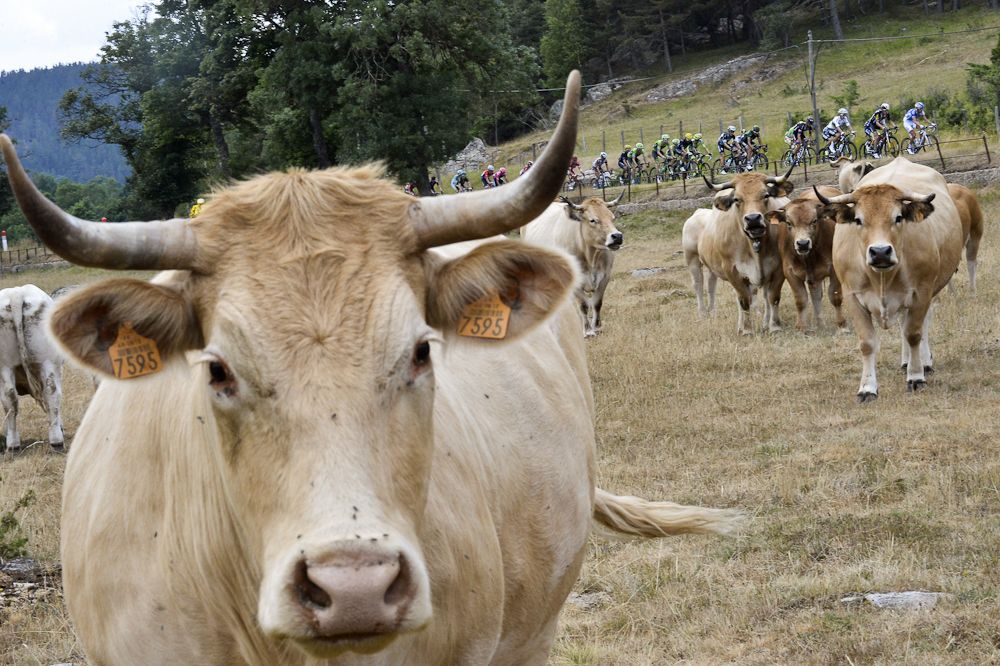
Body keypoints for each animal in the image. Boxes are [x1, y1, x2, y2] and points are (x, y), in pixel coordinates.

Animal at [0, 284, 64, 452]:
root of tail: (16, 292)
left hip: (5, 366)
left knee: (9, 398)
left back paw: (13, 444)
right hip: (48, 361)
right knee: (52, 392)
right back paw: (57, 441)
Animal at [521, 192, 625, 337]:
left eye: (612, 217)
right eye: (593, 220)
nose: (617, 236)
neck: (590, 257)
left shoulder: (605, 277)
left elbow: (597, 303)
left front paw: (597, 327)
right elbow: (583, 305)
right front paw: (588, 331)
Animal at [682, 168, 795, 335]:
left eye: (765, 195)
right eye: (736, 199)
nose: (753, 219)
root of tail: (698, 212)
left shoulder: (777, 268)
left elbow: (772, 297)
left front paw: (774, 326)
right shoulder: (732, 270)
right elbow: (744, 300)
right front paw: (747, 329)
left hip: (712, 266)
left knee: (711, 286)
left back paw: (714, 312)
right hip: (693, 259)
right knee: (698, 285)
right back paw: (703, 314)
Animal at [767, 186, 847, 332]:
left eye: (814, 220)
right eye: (789, 223)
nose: (803, 243)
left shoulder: (834, 270)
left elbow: (835, 296)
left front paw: (842, 326)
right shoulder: (789, 272)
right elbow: (801, 299)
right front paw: (801, 326)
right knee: (815, 295)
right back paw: (820, 323)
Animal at [817, 157, 964, 402]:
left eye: (898, 217)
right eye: (858, 219)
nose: (880, 252)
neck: (882, 277)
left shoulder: (921, 292)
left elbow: (913, 334)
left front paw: (916, 376)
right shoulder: (852, 297)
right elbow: (867, 343)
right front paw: (867, 388)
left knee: (920, 326)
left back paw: (922, 362)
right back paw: (906, 362)